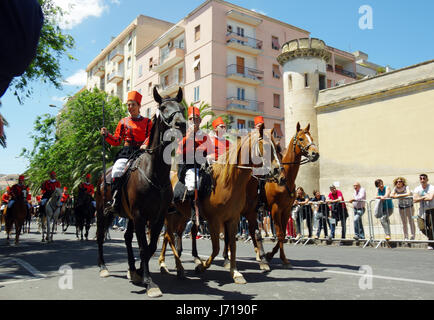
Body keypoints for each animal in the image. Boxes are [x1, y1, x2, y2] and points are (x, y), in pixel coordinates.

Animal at [95, 87, 185, 298]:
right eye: (163, 107)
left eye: (182, 107)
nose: (181, 124)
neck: (155, 173)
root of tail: (102, 176)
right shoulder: (139, 216)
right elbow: (143, 247)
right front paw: (149, 283)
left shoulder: (157, 217)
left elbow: (150, 247)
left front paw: (139, 272)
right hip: (104, 213)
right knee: (101, 236)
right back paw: (103, 267)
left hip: (127, 216)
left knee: (127, 238)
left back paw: (131, 269)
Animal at [158, 126, 284, 284]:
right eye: (266, 146)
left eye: (278, 147)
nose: (278, 171)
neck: (227, 182)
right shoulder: (214, 221)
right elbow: (216, 248)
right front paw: (202, 267)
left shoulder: (233, 219)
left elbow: (233, 245)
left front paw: (235, 272)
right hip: (169, 217)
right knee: (169, 236)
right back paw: (169, 265)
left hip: (180, 216)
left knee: (170, 236)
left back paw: (174, 265)